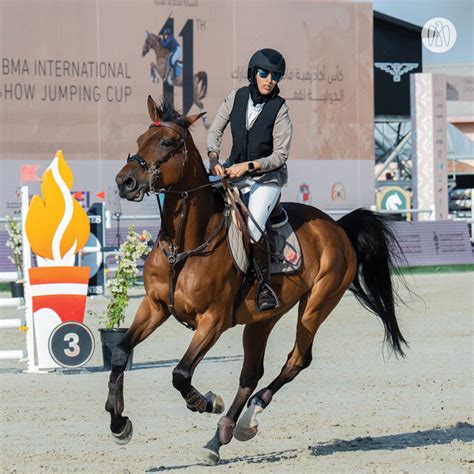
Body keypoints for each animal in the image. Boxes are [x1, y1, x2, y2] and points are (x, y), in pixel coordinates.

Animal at [106, 94, 408, 464]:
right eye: (139, 140)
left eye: (166, 142)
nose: (125, 182)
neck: (186, 245)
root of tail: (337, 227)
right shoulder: (155, 307)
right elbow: (120, 354)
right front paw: (119, 423)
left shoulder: (213, 321)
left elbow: (180, 374)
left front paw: (207, 402)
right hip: (263, 319)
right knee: (251, 373)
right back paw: (220, 436)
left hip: (316, 305)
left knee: (296, 360)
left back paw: (247, 419)